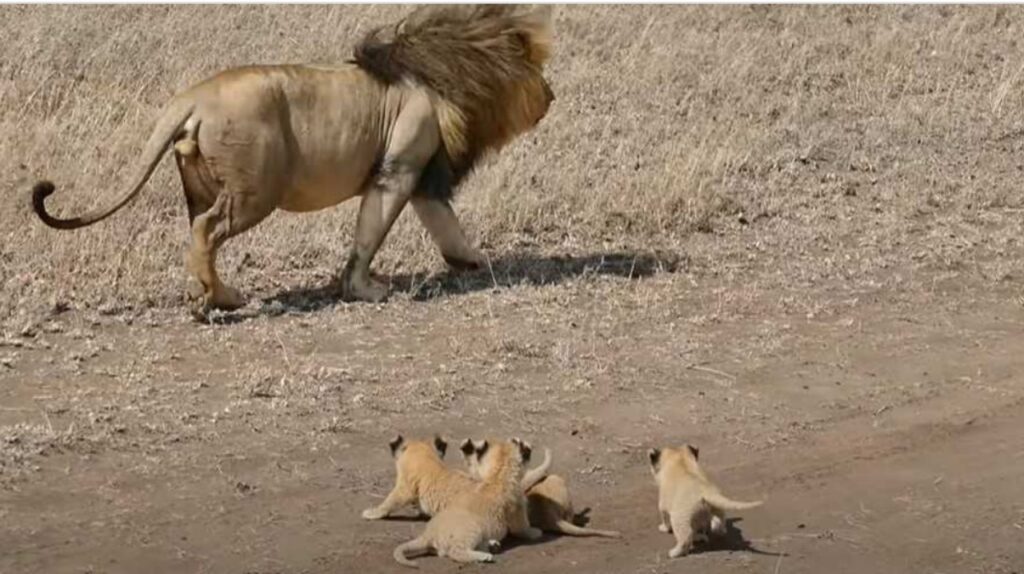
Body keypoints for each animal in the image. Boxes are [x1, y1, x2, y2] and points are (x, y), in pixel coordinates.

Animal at [32, 4, 557, 313]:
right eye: (538, 70)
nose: (552, 96)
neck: (445, 72)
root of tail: (193, 96)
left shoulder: (424, 174)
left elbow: (445, 223)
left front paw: (470, 260)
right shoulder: (400, 166)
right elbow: (370, 234)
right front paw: (364, 290)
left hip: (201, 183)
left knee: (196, 234)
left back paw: (208, 292)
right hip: (253, 192)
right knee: (206, 230)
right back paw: (219, 301)